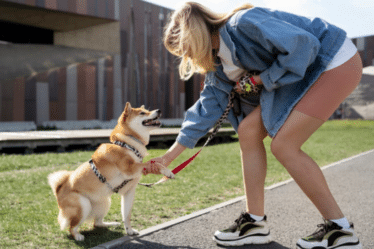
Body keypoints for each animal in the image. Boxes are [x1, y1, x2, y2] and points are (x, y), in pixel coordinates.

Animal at [47, 102, 175, 240]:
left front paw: (129, 231)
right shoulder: (129, 169)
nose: (159, 110)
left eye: (147, 110)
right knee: (72, 227)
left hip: (105, 202)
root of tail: (58, 190)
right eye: (142, 113)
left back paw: (111, 224)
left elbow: (126, 215)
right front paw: (167, 171)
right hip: (84, 205)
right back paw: (78, 236)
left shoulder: (129, 192)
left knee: (97, 223)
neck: (128, 144)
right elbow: (152, 163)